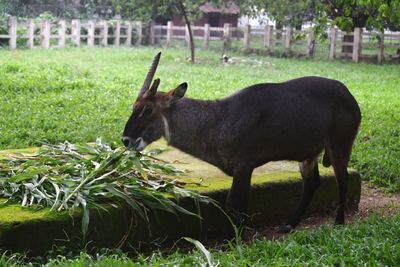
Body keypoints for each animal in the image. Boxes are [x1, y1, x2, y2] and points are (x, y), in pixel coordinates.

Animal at [122, 51, 362, 232]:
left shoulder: (244, 165)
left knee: (342, 181)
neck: (219, 118)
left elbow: (233, 203)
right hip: (309, 154)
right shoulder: (244, 169)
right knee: (312, 183)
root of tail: (349, 95)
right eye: (134, 106)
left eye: (148, 109)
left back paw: (339, 222)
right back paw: (289, 225)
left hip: (340, 146)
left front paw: (235, 238)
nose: (125, 139)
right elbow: (242, 204)